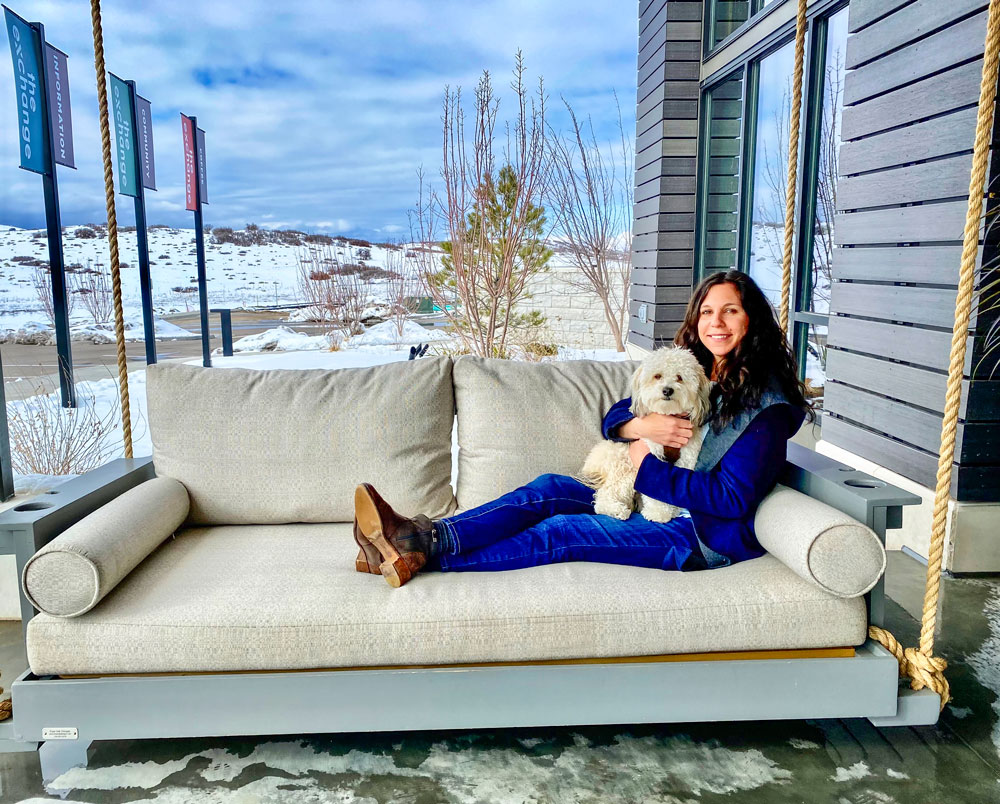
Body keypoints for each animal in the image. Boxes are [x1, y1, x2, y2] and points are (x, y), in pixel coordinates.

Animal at [580, 346, 712, 520]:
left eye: (679, 377)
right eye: (657, 376)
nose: (667, 390)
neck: (669, 415)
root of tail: (593, 460)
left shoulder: (687, 457)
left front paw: (671, 509)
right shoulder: (648, 455)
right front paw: (658, 512)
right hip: (627, 468)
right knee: (605, 495)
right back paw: (616, 509)